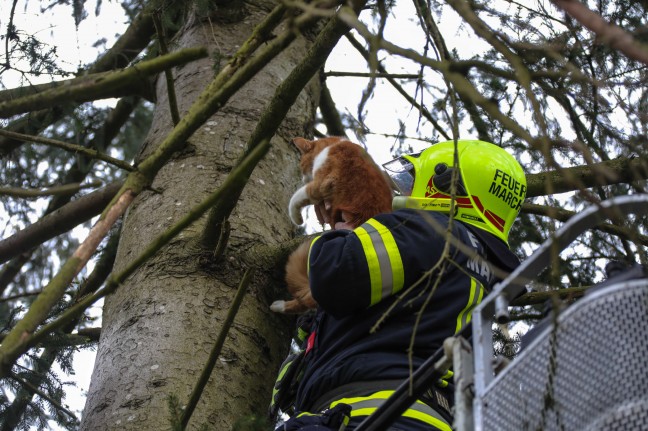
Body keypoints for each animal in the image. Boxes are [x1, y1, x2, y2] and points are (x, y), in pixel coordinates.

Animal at [270, 137, 392, 316]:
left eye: (301, 166)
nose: (303, 179)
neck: (332, 145)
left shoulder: (320, 184)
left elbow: (296, 197)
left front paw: (296, 218)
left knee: (307, 300)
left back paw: (280, 306)